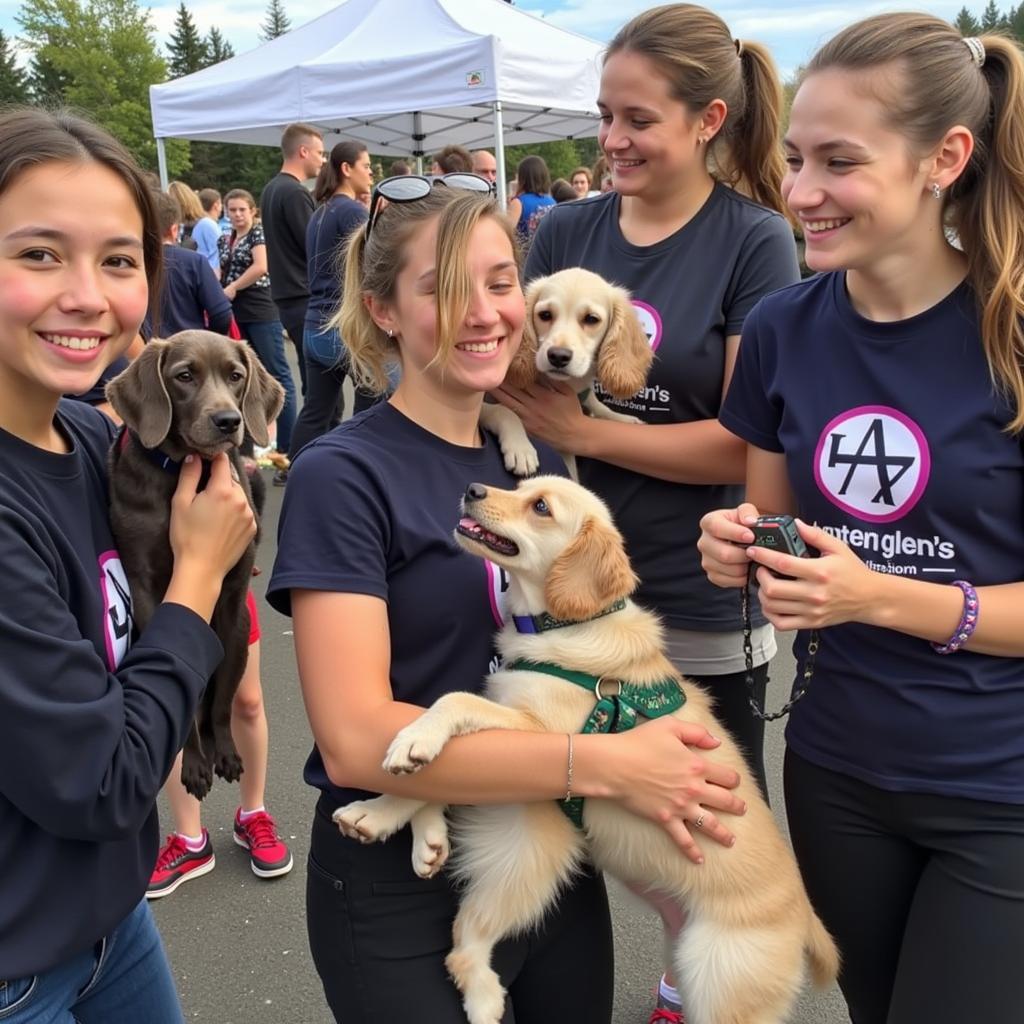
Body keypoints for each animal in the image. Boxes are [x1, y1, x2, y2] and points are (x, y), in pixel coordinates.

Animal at [335, 477, 839, 1024]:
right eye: (519, 485)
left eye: (540, 507)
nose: (472, 489)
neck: (569, 626)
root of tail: (806, 919)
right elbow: (438, 769)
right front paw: (383, 816)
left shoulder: (539, 734)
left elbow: (453, 701)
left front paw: (412, 744)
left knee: (464, 948)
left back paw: (485, 1000)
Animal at [477, 268, 647, 475]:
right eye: (545, 315)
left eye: (591, 319)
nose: (558, 356)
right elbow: (504, 411)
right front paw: (521, 448)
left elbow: (597, 403)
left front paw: (621, 419)